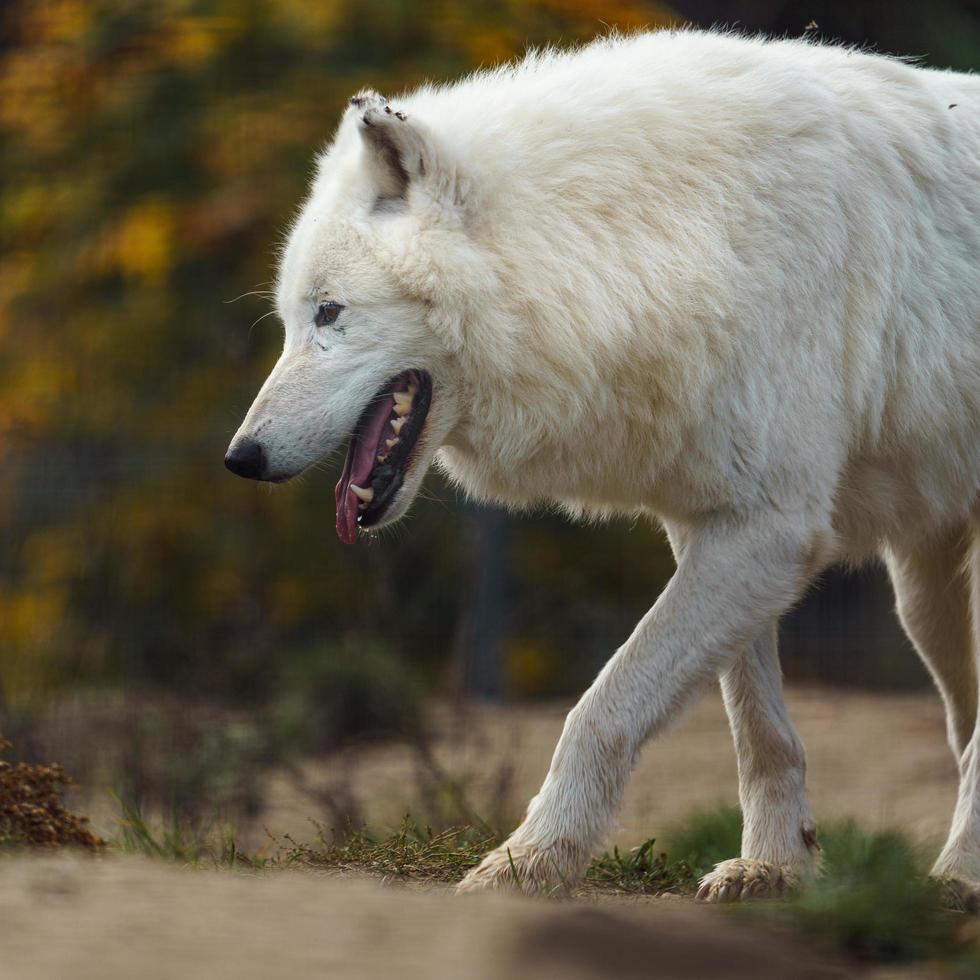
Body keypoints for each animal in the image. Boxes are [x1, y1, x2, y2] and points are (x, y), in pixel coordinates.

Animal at [226, 30, 980, 900]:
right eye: (291, 319)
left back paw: (958, 879)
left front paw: (529, 860)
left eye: (330, 312)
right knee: (963, 724)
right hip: (925, 604)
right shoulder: (723, 527)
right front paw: (772, 866)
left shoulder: (771, 528)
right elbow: (758, 730)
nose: (241, 456)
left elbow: (602, 709)